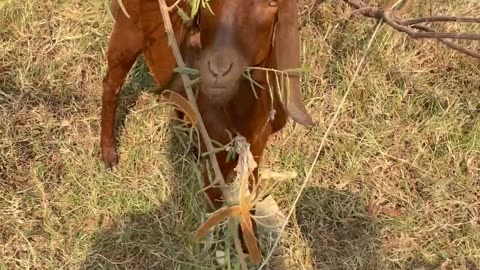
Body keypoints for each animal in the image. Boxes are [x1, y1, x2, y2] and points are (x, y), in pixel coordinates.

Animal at [100, 0, 314, 260]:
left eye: (272, 4)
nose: (218, 70)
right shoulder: (215, 155)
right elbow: (216, 201)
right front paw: (220, 249)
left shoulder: (256, 146)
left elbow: (249, 195)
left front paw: (251, 246)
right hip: (126, 32)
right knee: (111, 85)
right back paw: (109, 153)